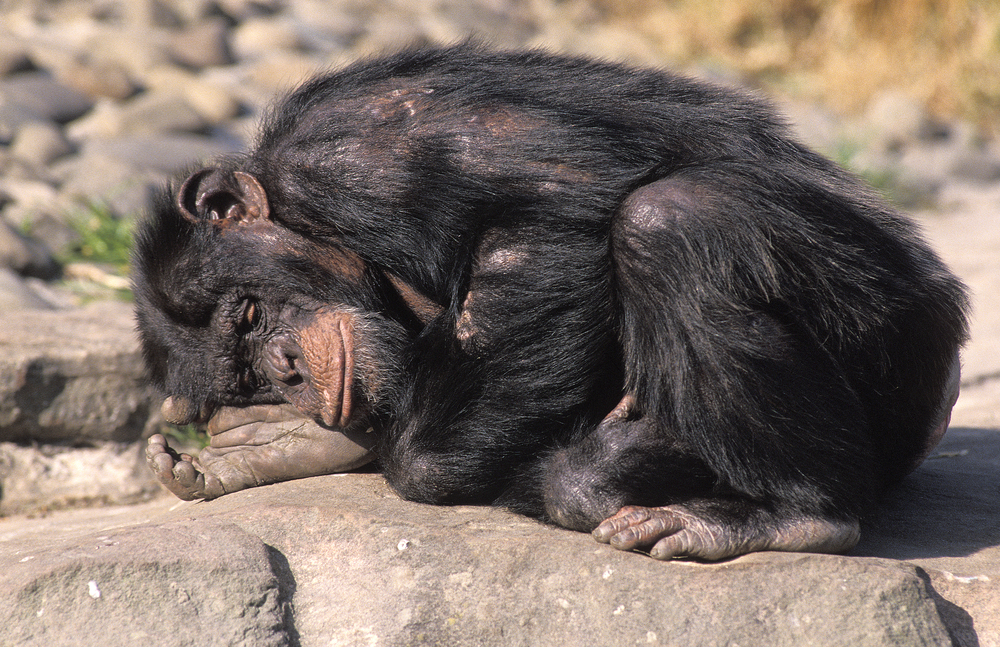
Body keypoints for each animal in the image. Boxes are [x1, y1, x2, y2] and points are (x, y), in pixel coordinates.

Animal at [133, 44, 968, 560]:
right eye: (246, 375)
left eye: (248, 313)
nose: (285, 369)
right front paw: (274, 441)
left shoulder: (361, 151)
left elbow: (544, 223)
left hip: (892, 335)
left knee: (673, 222)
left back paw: (796, 512)